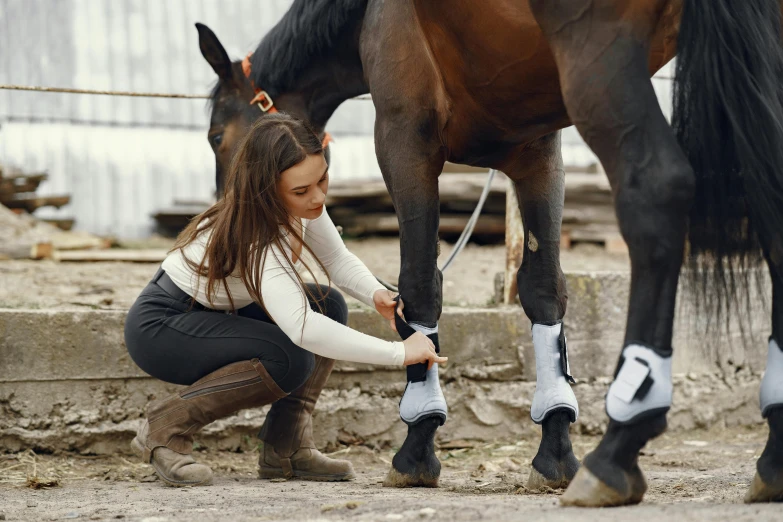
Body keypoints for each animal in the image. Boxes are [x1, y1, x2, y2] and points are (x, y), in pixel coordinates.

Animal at [196, 0, 783, 504]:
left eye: (216, 136)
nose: (226, 228)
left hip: (601, 56)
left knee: (656, 190)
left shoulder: (403, 137)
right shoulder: (538, 151)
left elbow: (420, 284)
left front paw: (417, 444)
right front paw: (555, 447)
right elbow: (543, 290)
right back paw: (771, 455)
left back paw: (618, 448)